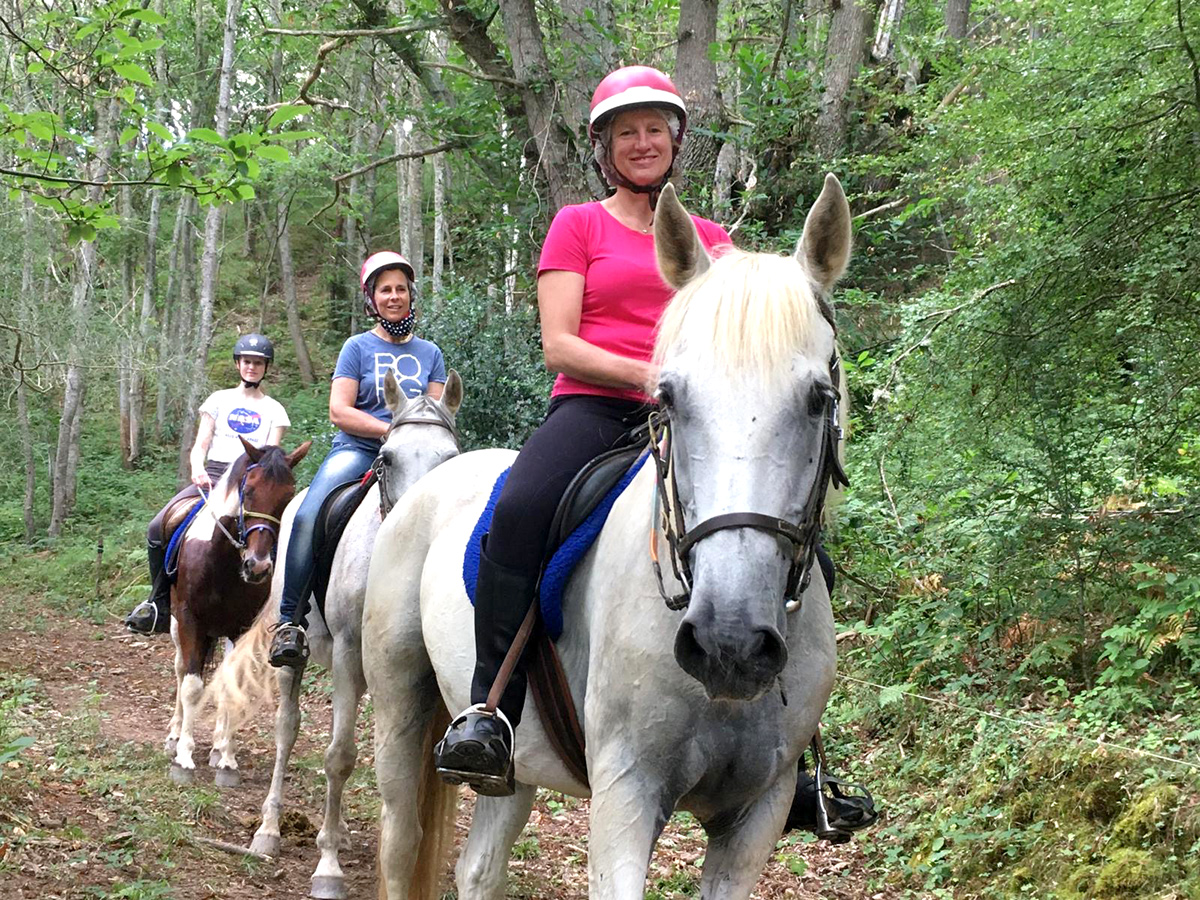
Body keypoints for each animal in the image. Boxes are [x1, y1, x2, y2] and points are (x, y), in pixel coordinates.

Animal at [163, 441, 309, 787]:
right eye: (250, 491)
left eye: (288, 496)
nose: (257, 566)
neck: (222, 563)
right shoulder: (189, 620)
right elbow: (191, 686)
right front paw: (184, 757)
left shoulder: (240, 628)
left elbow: (230, 686)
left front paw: (227, 759)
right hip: (177, 625)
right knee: (180, 670)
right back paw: (175, 735)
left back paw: (217, 746)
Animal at [204, 369, 460, 897]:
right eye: (387, 458)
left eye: (450, 459)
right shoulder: (346, 653)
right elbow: (339, 755)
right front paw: (327, 868)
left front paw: (338, 840)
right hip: (298, 657)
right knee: (288, 729)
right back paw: (270, 829)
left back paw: (335, 827)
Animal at [362, 177, 854, 900]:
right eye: (669, 397)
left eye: (820, 397)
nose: (728, 643)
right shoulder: (627, 795)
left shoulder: (756, 815)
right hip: (400, 716)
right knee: (400, 844)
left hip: (514, 767)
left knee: (479, 867)